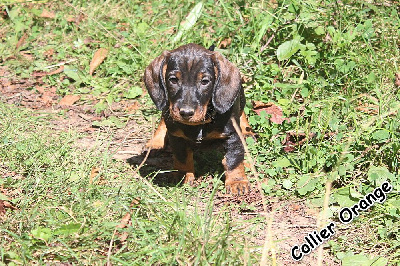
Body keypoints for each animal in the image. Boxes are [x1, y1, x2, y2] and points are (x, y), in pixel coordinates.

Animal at [142, 42, 252, 194]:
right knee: (163, 119)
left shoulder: (233, 135)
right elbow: (182, 157)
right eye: (173, 80)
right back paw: (155, 143)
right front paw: (183, 175)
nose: (186, 113)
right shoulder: (177, 137)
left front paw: (237, 181)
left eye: (205, 81)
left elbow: (233, 159)